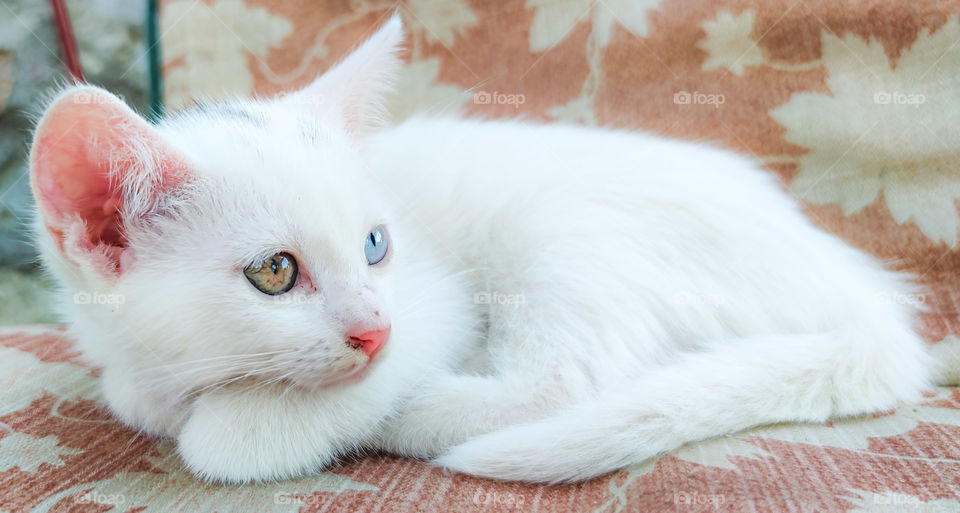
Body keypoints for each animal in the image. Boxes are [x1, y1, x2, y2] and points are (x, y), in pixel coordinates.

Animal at [30, 14, 928, 482]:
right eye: (274, 272)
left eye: (375, 243)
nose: (373, 329)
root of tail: (854, 287)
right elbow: (132, 393)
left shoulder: (437, 302)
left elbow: (234, 438)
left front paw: (251, 422)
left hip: (557, 228)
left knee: (568, 383)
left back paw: (424, 414)